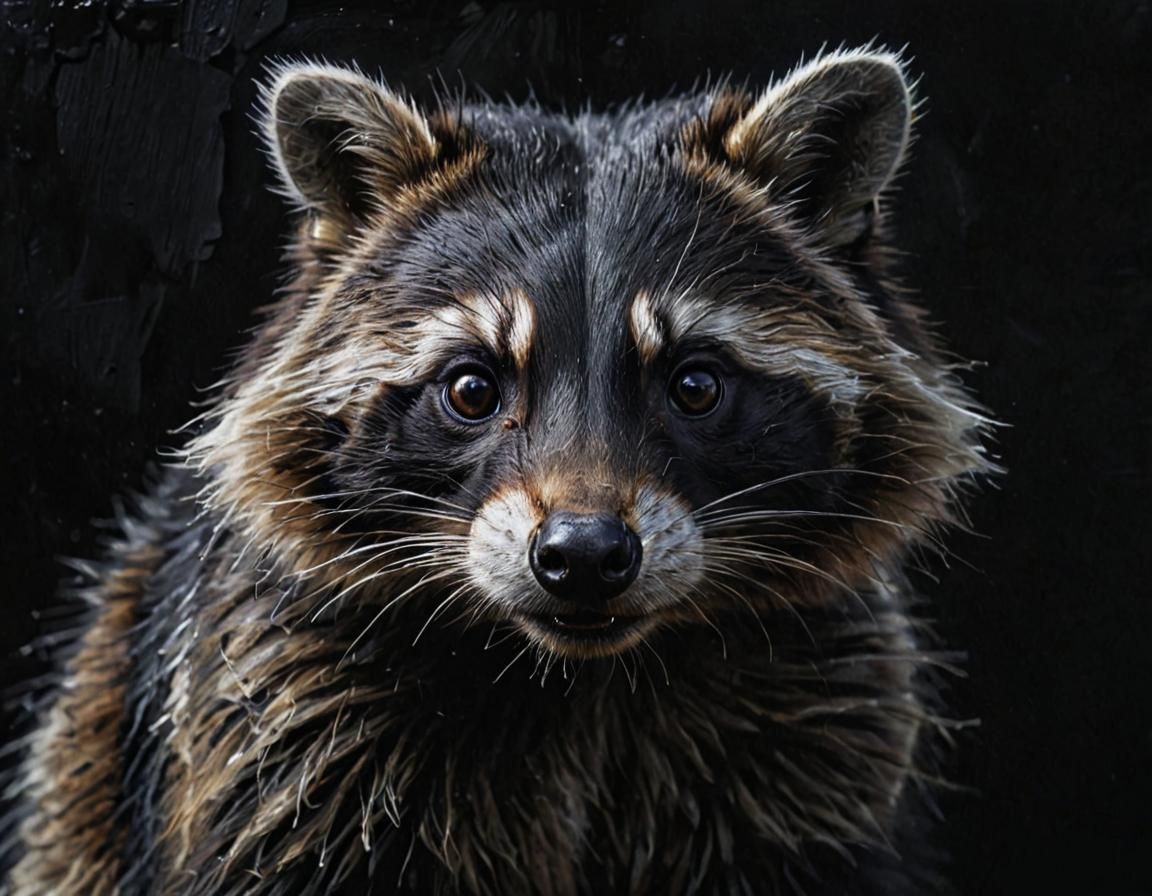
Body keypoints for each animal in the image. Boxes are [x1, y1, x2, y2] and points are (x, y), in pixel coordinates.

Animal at [3, 48, 992, 895]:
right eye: (473, 389)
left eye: (696, 385)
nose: (585, 555)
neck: (580, 680)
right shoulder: (275, 727)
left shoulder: (825, 732)